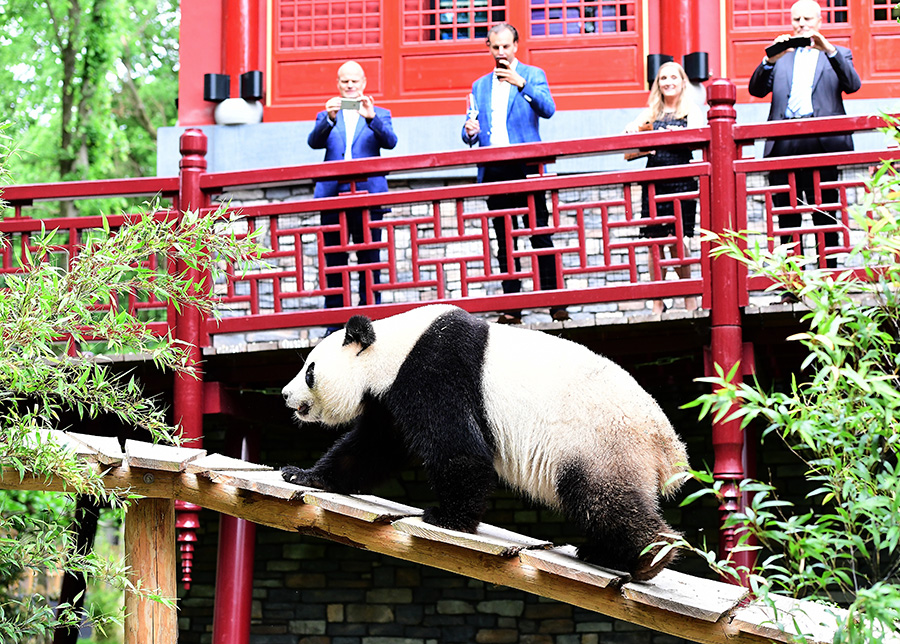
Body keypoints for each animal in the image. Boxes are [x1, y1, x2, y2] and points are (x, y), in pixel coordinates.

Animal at [282, 304, 688, 580]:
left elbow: (459, 449)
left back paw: (648, 557)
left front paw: (447, 517)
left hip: (600, 441)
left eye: (309, 370)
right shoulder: (390, 399)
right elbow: (373, 448)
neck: (392, 349)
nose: (285, 395)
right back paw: (606, 555)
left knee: (600, 497)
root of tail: (667, 445)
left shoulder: (435, 369)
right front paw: (303, 475)